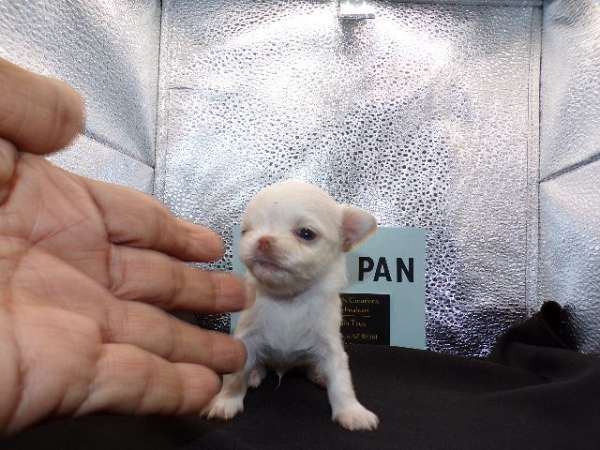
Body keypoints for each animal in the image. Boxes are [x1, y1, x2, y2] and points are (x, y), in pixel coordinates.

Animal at [204, 181, 378, 430]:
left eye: (306, 234)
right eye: (246, 232)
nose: (263, 239)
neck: (288, 299)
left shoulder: (331, 347)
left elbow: (341, 382)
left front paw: (351, 411)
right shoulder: (246, 340)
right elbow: (235, 376)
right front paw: (226, 401)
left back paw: (319, 374)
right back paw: (254, 374)